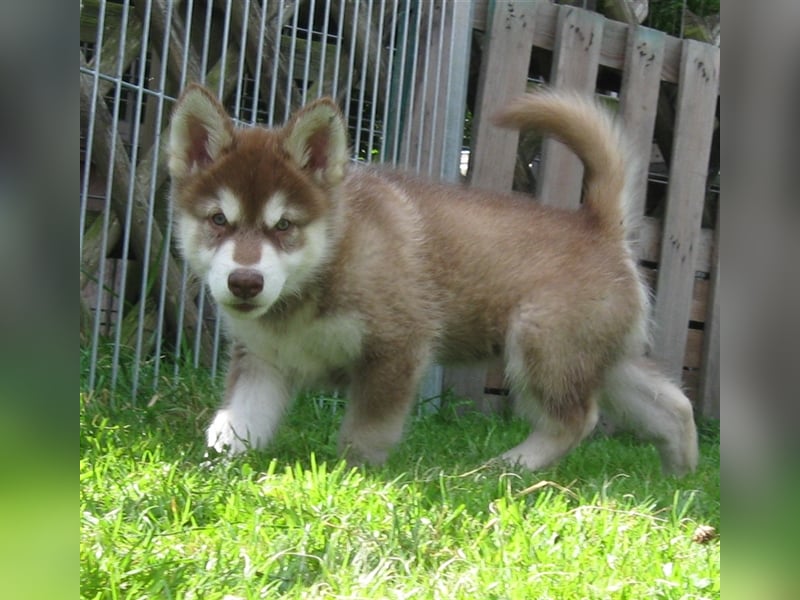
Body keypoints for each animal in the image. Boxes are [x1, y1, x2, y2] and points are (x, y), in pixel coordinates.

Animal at [166, 84, 696, 476]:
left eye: (283, 226)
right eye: (219, 220)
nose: (245, 282)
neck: (323, 269)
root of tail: (599, 224)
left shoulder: (397, 347)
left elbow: (365, 433)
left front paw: (352, 478)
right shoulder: (263, 362)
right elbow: (235, 425)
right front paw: (209, 471)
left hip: (542, 344)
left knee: (577, 420)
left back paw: (507, 466)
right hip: (599, 357)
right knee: (673, 403)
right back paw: (680, 476)